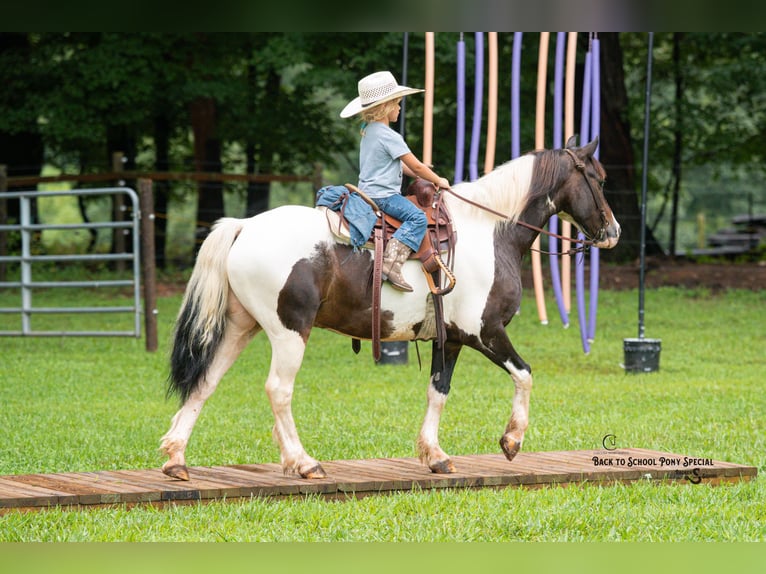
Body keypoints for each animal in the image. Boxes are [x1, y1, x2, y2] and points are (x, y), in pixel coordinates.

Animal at [160, 136, 620, 481]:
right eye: (598, 179)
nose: (613, 231)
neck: (491, 231)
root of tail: (244, 226)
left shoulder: (451, 339)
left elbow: (438, 390)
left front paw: (435, 455)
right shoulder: (485, 331)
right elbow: (524, 374)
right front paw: (511, 441)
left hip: (241, 326)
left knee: (206, 381)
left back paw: (176, 458)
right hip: (288, 332)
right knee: (278, 390)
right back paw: (304, 462)